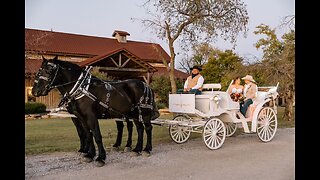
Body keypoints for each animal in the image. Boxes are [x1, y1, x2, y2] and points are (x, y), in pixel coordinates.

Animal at [31, 56, 159, 166]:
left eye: (50, 70)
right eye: (39, 71)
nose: (35, 91)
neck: (81, 88)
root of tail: (145, 84)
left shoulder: (91, 116)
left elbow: (96, 135)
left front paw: (100, 157)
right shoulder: (81, 117)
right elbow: (88, 135)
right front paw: (89, 154)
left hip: (144, 112)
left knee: (147, 128)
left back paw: (147, 149)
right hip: (133, 113)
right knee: (139, 128)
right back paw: (136, 149)